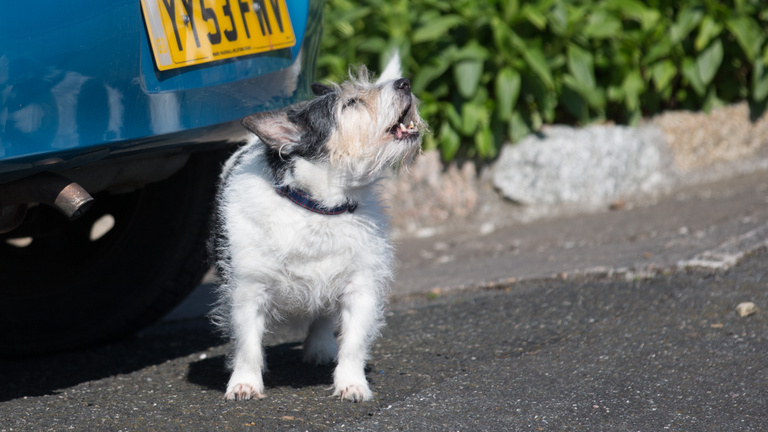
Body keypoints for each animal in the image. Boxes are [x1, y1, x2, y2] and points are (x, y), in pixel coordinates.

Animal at [210, 55, 424, 404]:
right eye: (351, 103)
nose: (404, 82)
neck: (319, 208)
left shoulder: (360, 287)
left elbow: (353, 343)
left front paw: (352, 384)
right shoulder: (247, 291)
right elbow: (247, 345)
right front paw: (244, 383)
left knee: (322, 316)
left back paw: (320, 347)